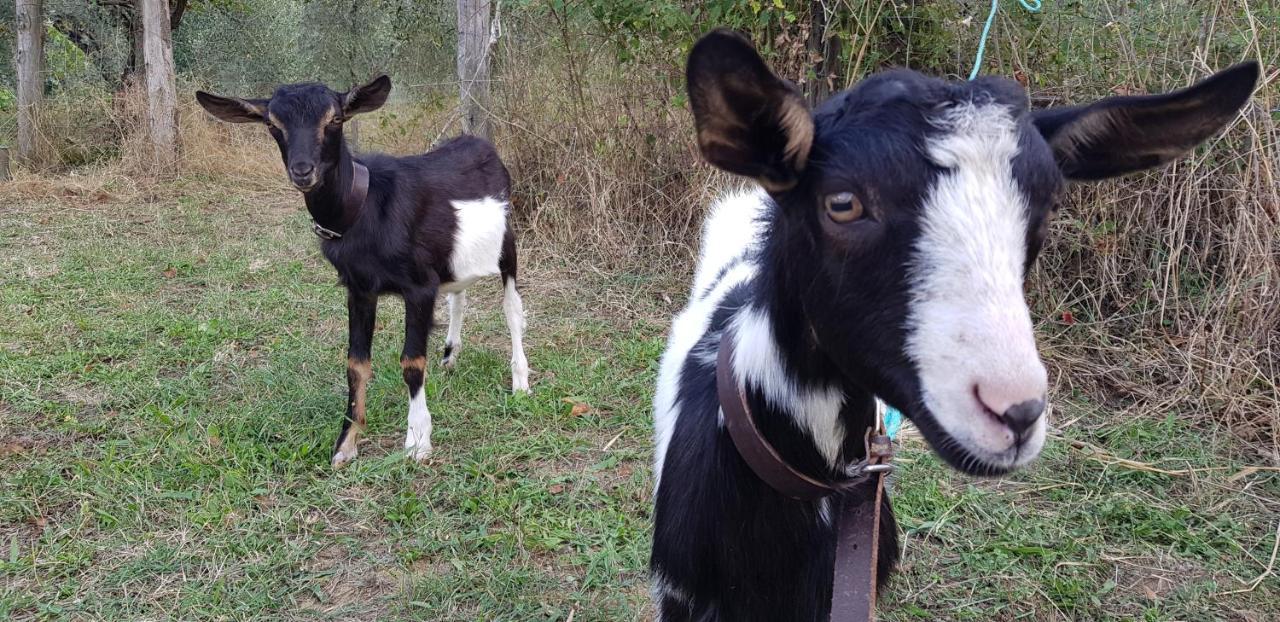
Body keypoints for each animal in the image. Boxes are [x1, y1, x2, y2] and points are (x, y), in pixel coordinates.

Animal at [197, 76, 527, 465]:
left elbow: (411, 361)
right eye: (272, 125)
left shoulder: (419, 287)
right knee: (457, 296)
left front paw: (417, 441)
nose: (303, 171)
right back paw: (450, 356)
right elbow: (355, 364)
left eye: (335, 119)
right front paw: (346, 443)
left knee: (512, 308)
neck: (365, 206)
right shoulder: (359, 289)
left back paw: (521, 382)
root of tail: (480, 142)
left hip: (507, 245)